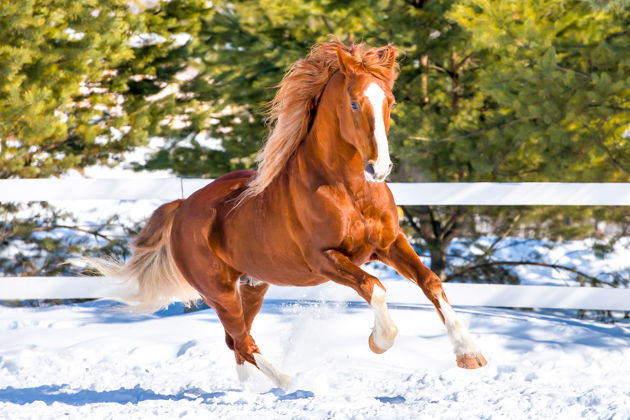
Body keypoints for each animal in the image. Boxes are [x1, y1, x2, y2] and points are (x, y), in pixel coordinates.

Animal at [91, 41, 492, 388]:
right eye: (354, 104)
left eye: (389, 102)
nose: (379, 168)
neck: (349, 191)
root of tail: (183, 208)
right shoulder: (325, 259)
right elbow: (374, 287)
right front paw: (379, 342)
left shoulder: (390, 243)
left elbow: (431, 282)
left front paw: (470, 354)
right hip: (219, 291)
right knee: (244, 342)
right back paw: (290, 383)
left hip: (252, 285)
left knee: (236, 341)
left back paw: (252, 391)